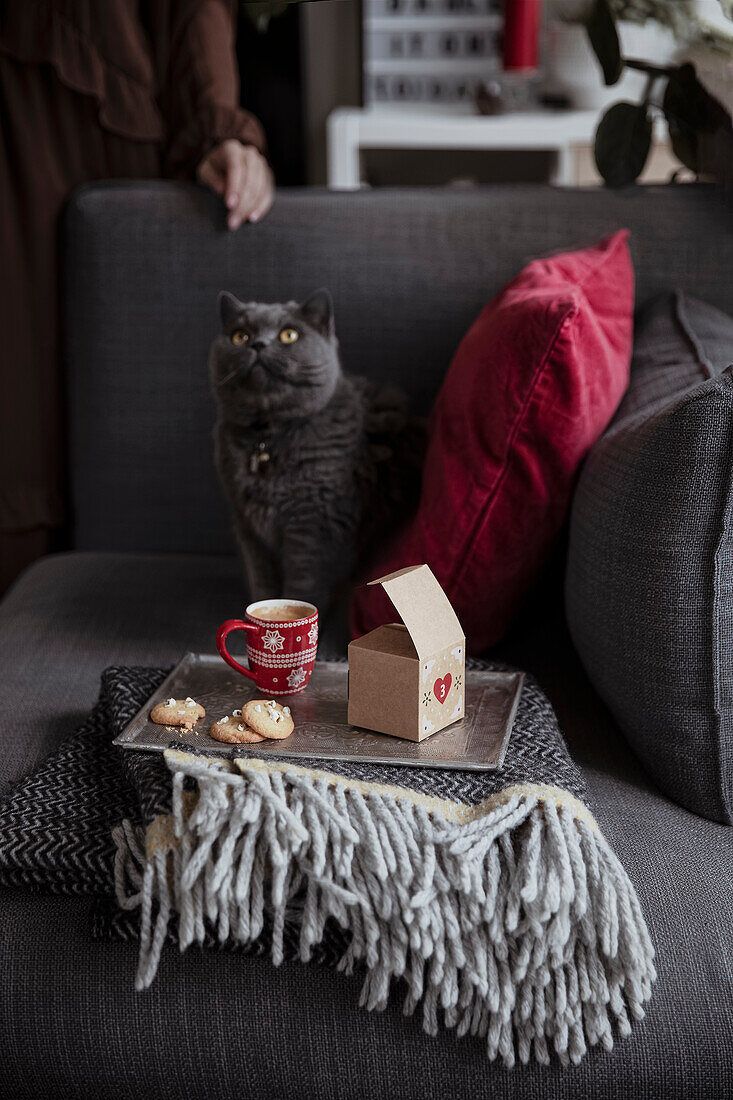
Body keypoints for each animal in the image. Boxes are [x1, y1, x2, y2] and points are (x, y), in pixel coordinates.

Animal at [208, 288, 420, 616]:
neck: (267, 439)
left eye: (289, 335)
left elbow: (303, 585)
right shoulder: (248, 528)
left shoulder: (314, 526)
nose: (258, 344)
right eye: (240, 336)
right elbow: (262, 582)